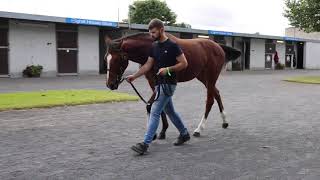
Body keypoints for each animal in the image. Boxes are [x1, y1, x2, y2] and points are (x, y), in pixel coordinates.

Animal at [105, 32, 240, 137]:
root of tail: (217, 46)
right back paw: (225, 121)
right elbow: (161, 106)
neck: (152, 49)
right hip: (203, 78)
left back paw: (199, 129)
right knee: (216, 93)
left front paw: (154, 133)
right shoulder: (154, 83)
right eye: (106, 58)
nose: (110, 84)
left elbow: (150, 106)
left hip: (211, 77)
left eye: (117, 59)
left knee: (210, 100)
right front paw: (162, 131)